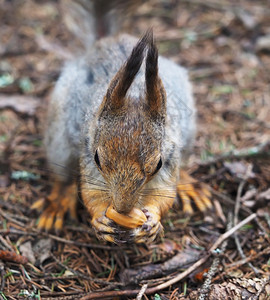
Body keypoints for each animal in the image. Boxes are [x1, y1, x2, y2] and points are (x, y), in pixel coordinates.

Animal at [32, 0, 212, 244]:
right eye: (98, 158)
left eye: (158, 164)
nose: (122, 208)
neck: (135, 93)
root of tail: (106, 41)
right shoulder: (88, 158)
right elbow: (91, 194)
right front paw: (100, 220)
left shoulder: (170, 159)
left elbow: (165, 194)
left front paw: (152, 222)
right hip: (58, 134)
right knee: (64, 176)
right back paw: (58, 201)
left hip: (189, 130)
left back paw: (189, 185)